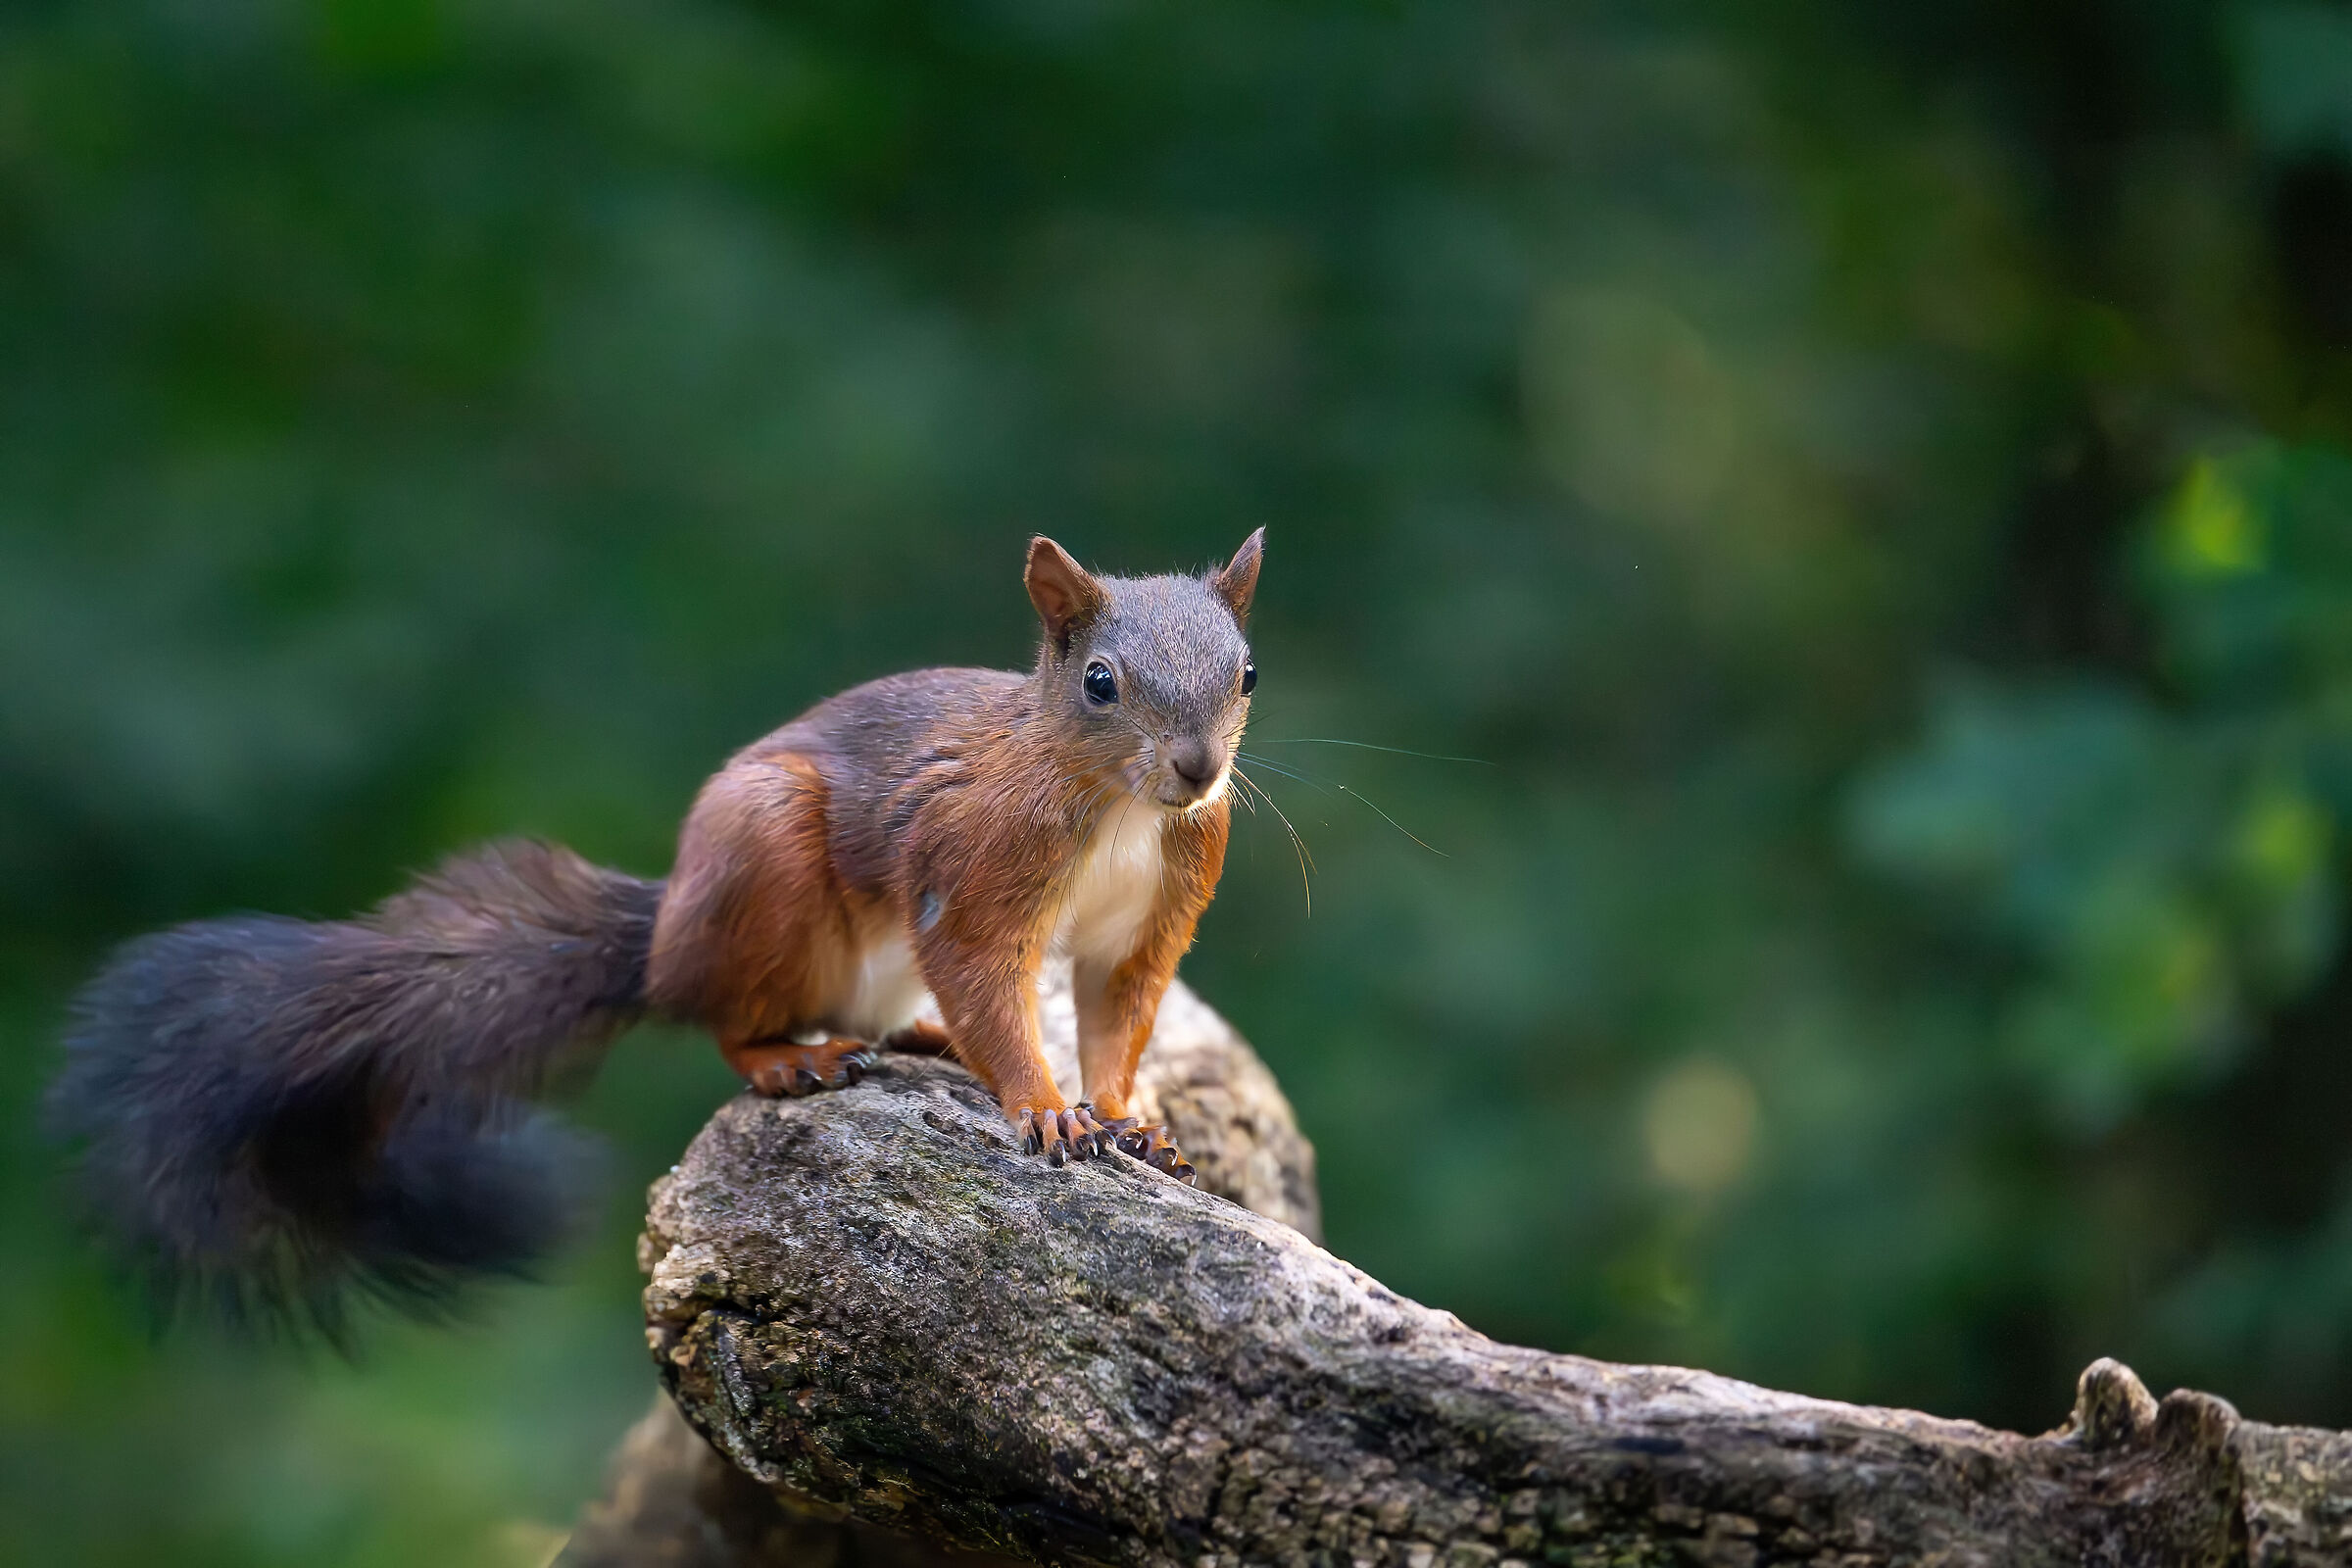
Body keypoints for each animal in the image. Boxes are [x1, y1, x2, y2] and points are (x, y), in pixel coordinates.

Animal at [48, 531, 1263, 1335]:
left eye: (1247, 670)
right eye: (1100, 681)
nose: (1198, 769)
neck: (1122, 809)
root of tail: (667, 938)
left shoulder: (1148, 922)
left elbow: (1118, 1018)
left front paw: (1127, 1120)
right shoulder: (973, 874)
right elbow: (987, 982)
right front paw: (1045, 1109)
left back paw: (916, 1039)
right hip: (763, 870)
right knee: (726, 1018)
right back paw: (790, 1058)